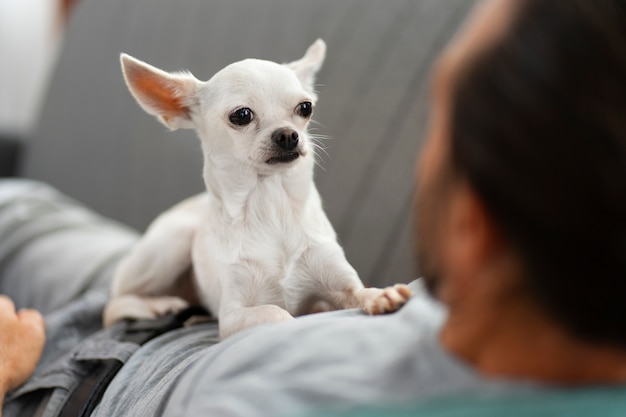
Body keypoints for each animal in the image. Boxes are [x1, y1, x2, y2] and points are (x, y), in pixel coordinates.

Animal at [104, 39, 412, 338]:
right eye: (241, 115)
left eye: (305, 108)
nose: (288, 134)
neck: (271, 202)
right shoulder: (233, 314)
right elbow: (277, 313)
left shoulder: (340, 285)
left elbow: (360, 292)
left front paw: (381, 295)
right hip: (174, 242)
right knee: (112, 306)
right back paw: (161, 305)